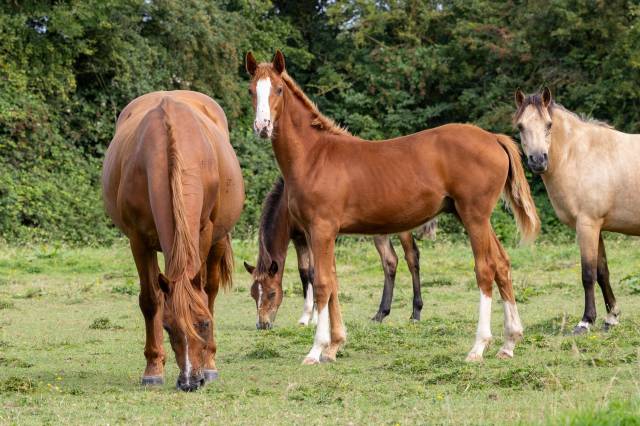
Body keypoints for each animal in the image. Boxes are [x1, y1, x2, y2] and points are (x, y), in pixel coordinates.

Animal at [102, 91, 245, 392]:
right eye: (168, 327)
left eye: (204, 324)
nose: (190, 381)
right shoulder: (138, 240)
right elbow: (150, 300)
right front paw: (153, 368)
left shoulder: (203, 232)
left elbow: (203, 293)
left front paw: (207, 365)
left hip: (218, 240)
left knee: (211, 290)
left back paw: (211, 364)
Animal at [242, 176, 438, 330]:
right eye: (252, 294)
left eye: (272, 293)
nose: (262, 324)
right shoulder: (300, 240)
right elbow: (304, 273)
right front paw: (305, 318)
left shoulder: (314, 236)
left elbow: (314, 273)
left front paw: (316, 318)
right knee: (390, 261)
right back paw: (380, 314)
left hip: (403, 227)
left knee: (412, 257)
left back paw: (415, 313)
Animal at [516, 88, 636, 334]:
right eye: (520, 126)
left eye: (549, 124)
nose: (538, 160)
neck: (580, 155)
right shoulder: (596, 227)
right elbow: (602, 272)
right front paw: (611, 317)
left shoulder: (587, 225)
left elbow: (588, 274)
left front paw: (585, 321)